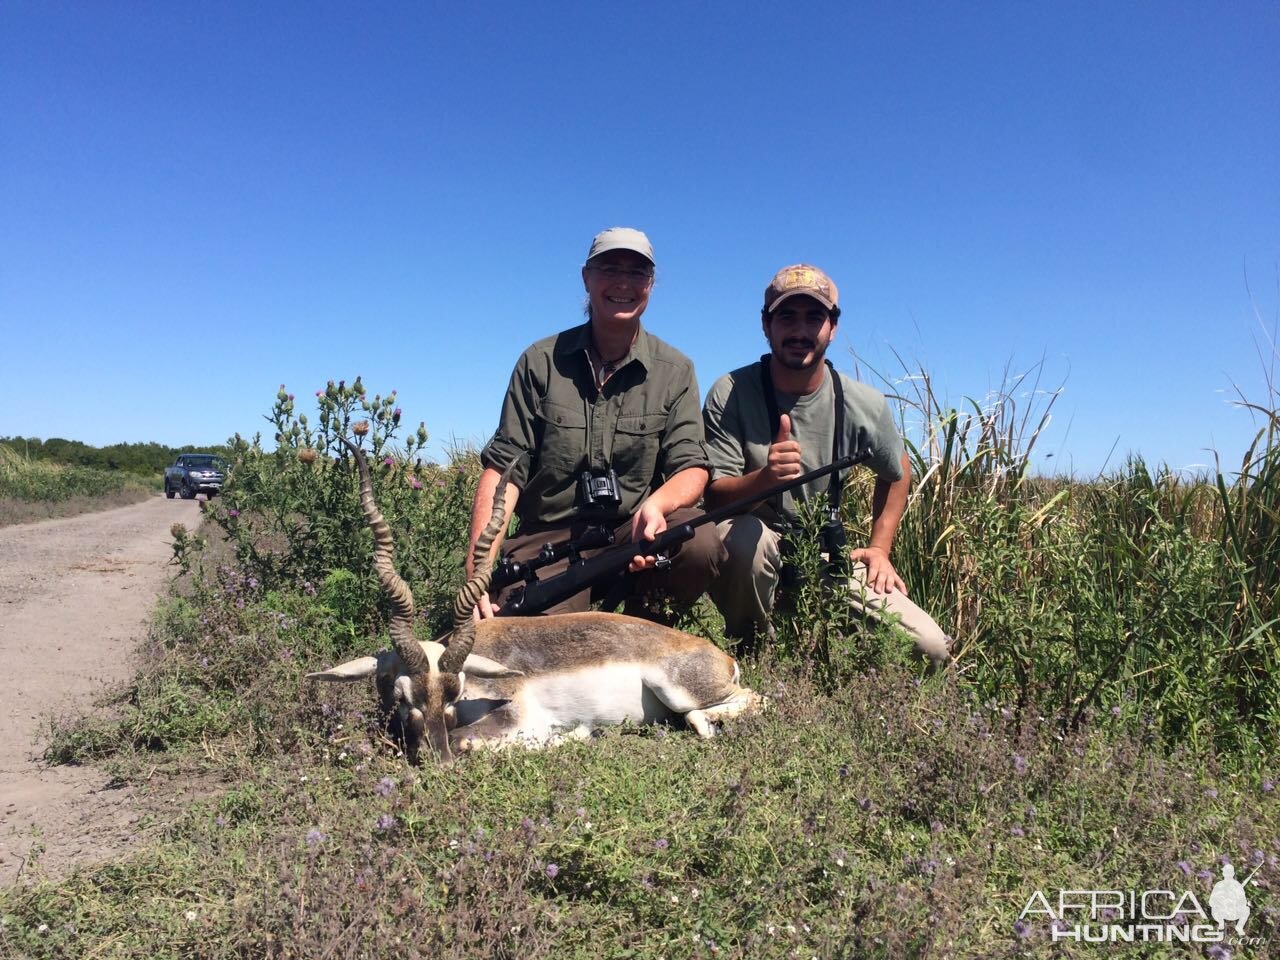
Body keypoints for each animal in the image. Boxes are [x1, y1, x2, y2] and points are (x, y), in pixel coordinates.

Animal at [305, 442, 757, 768]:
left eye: (456, 692)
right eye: (401, 697)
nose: (440, 764)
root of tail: (717, 654)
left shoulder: (517, 719)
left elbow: (473, 742)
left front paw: (574, 735)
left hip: (682, 692)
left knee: (744, 703)